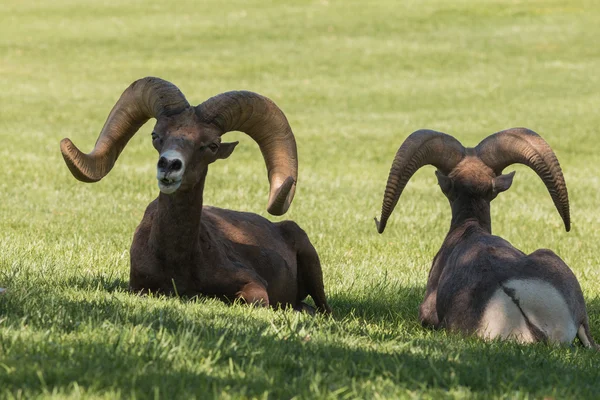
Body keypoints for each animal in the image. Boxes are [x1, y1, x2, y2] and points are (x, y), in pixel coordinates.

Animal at [61, 76, 330, 312]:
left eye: (211, 145)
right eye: (156, 135)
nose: (169, 165)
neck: (176, 261)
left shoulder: (253, 285)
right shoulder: (139, 288)